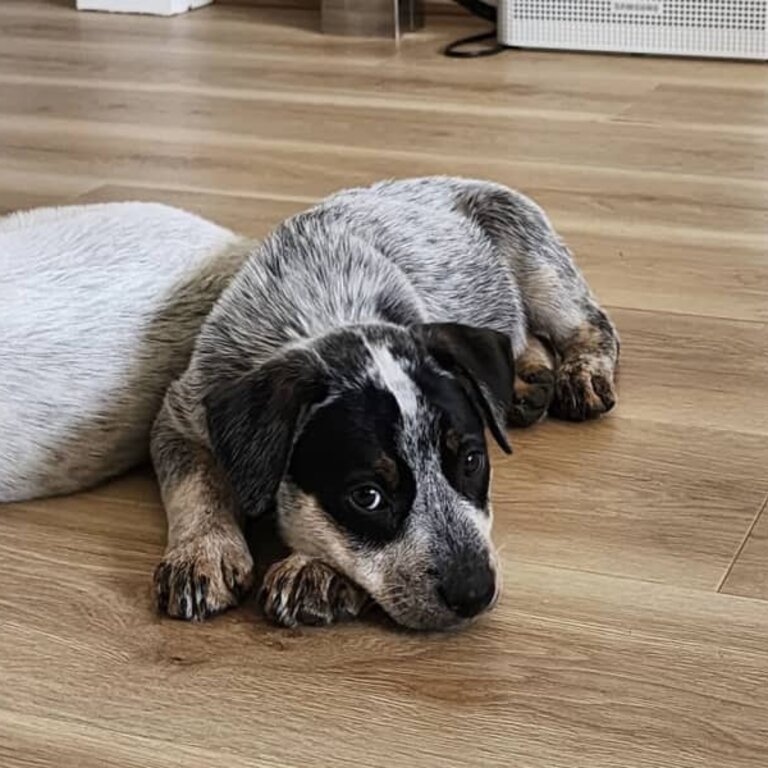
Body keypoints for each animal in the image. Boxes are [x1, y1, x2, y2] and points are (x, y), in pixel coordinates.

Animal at [0, 178, 616, 632]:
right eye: (366, 496)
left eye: (471, 461)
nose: (477, 592)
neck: (321, 309)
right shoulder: (181, 413)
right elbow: (195, 485)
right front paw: (203, 551)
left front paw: (315, 571)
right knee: (523, 338)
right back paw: (527, 380)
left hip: (533, 257)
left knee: (587, 325)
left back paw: (575, 374)